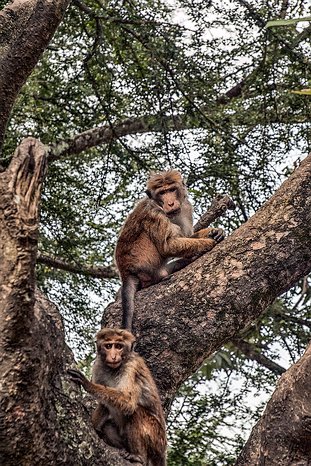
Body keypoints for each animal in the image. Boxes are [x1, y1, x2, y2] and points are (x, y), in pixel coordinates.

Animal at [67, 328, 167, 466]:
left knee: (136, 412)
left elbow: (128, 402)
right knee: (108, 426)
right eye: (109, 346)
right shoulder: (98, 365)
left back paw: (138, 456)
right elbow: (104, 404)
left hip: (157, 440)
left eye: (119, 346)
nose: (113, 356)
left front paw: (88, 384)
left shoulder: (132, 367)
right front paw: (94, 427)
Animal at [114, 169, 224, 330]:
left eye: (171, 190)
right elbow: (168, 246)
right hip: (146, 267)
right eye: (162, 192)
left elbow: (187, 235)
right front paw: (208, 243)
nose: (170, 203)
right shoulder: (154, 213)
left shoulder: (186, 207)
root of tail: (126, 272)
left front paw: (214, 231)